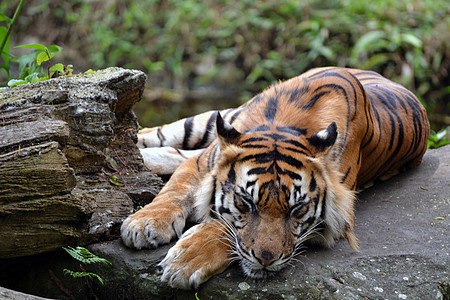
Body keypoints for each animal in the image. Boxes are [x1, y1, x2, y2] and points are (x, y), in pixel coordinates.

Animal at [119, 67, 428, 290]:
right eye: (245, 203)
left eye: (298, 209)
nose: (266, 259)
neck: (284, 125)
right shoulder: (203, 162)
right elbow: (175, 190)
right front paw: (145, 224)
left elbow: (223, 228)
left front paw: (186, 260)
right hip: (205, 121)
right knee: (157, 134)